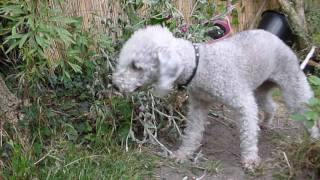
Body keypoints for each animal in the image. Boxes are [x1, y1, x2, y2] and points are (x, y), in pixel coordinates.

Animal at [112, 25, 318, 170]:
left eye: (136, 66)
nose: (114, 85)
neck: (200, 65)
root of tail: (279, 39)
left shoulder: (243, 101)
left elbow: (248, 134)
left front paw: (250, 159)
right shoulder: (198, 105)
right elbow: (193, 132)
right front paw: (183, 154)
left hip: (293, 87)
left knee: (307, 112)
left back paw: (315, 138)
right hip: (260, 89)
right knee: (271, 106)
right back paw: (266, 124)